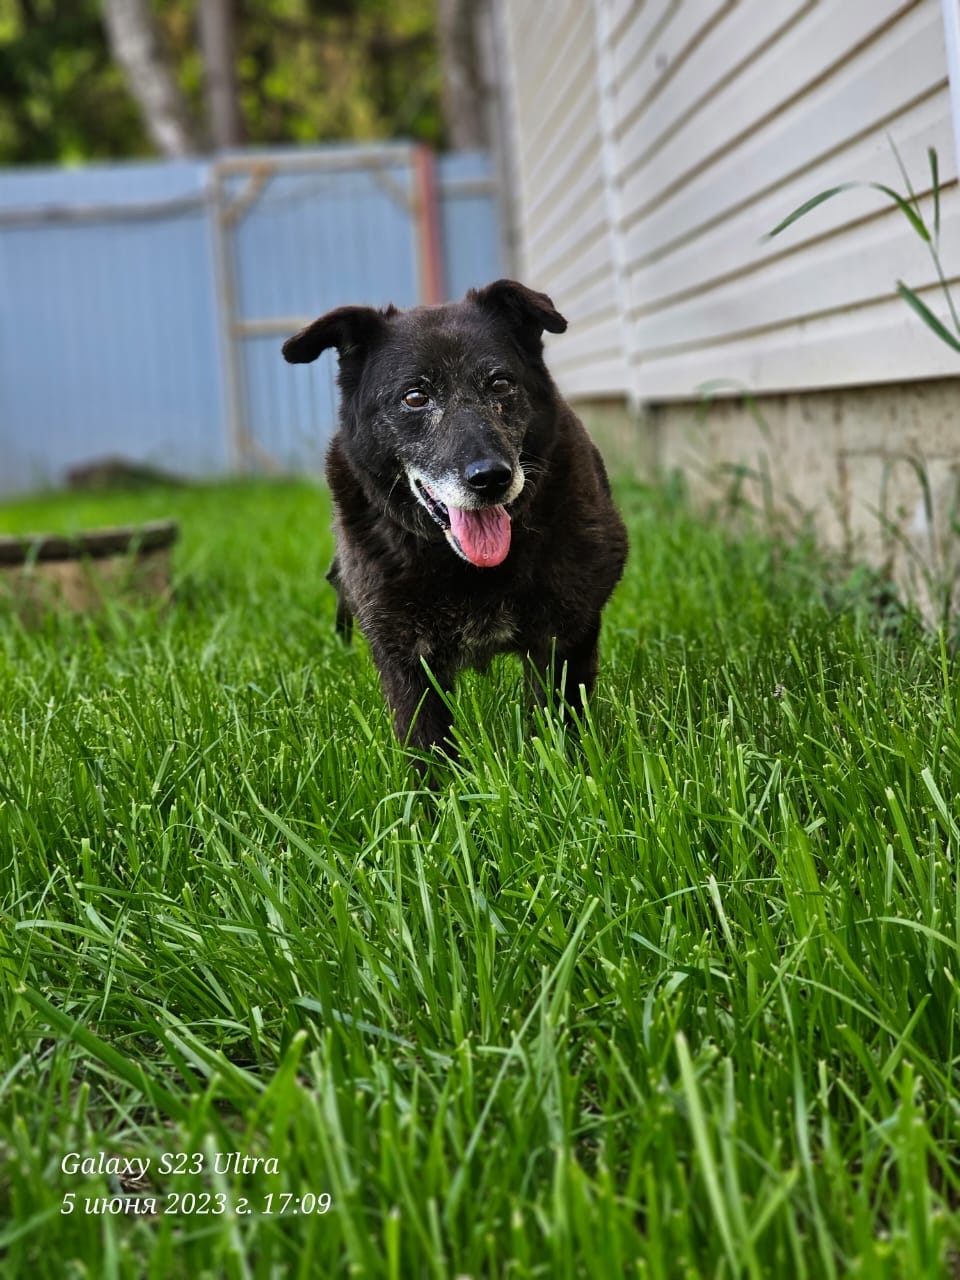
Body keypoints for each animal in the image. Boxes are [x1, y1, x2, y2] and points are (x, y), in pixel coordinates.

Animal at [284, 277, 632, 757]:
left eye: (500, 383)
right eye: (415, 397)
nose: (491, 479)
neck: (467, 567)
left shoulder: (566, 637)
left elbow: (559, 727)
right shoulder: (405, 660)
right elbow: (427, 749)